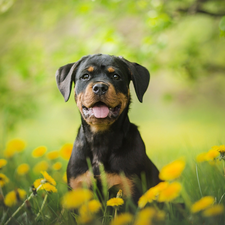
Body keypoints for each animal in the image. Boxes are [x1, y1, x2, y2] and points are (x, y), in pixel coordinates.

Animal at [55, 54, 161, 204]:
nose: (100, 87)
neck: (100, 140)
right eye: (85, 76)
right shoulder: (77, 187)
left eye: (116, 76)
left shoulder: (131, 188)